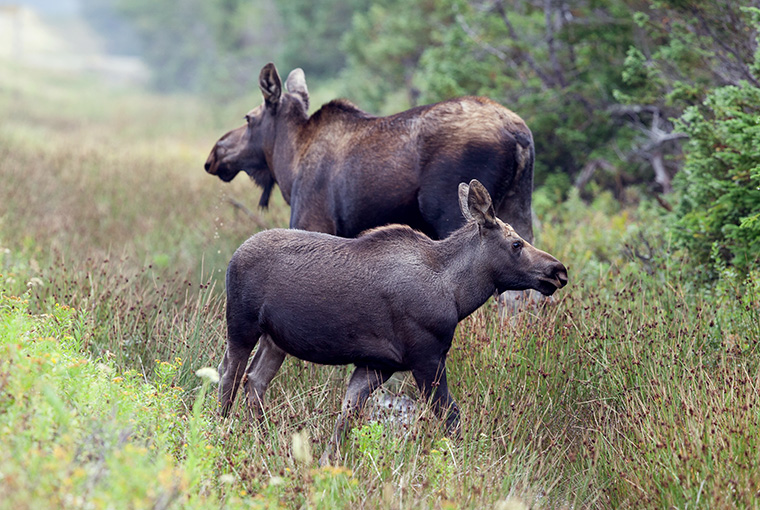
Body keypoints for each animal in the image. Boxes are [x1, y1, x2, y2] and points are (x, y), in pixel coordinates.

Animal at [203, 62, 536, 245]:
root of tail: (519, 134)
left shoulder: (312, 220)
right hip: (517, 206)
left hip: (453, 210)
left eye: (248, 118)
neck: (290, 162)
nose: (214, 155)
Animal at [217, 178, 568, 462]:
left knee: (254, 380)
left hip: (274, 339)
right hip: (241, 326)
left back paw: (263, 439)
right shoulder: (426, 358)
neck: (457, 294)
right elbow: (451, 417)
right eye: (516, 243)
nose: (558, 271)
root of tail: (232, 257)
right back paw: (221, 431)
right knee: (228, 376)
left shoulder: (376, 365)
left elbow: (345, 420)